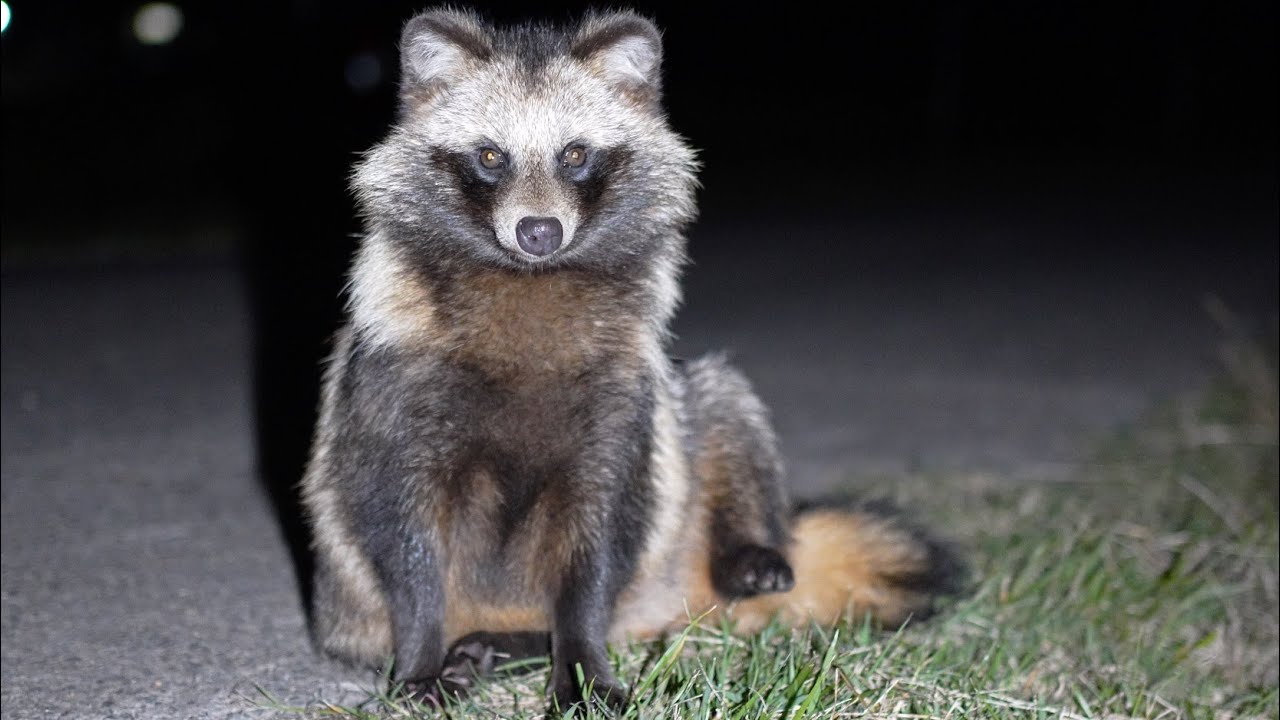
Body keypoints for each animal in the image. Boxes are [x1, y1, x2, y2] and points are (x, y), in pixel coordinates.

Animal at [300, 7, 961, 711]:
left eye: (575, 154)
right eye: (490, 156)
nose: (539, 232)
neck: (529, 278)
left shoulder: (620, 395)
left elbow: (596, 545)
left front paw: (583, 663)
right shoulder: (395, 384)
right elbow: (402, 531)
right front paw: (421, 658)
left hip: (671, 475)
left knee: (719, 395)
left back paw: (744, 545)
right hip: (352, 610)